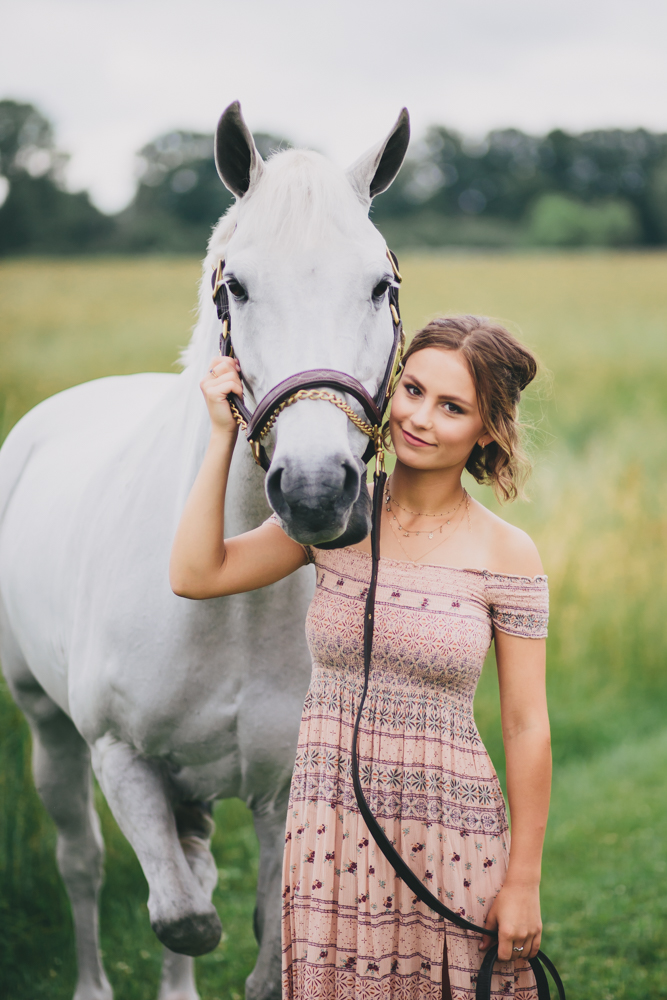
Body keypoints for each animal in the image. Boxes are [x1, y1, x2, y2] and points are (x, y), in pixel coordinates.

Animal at [0, 101, 410, 1000]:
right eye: (236, 286)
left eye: (380, 286)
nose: (316, 490)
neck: (232, 608)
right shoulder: (123, 758)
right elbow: (183, 916)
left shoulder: (285, 785)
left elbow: (259, 940)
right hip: (47, 725)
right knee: (82, 864)